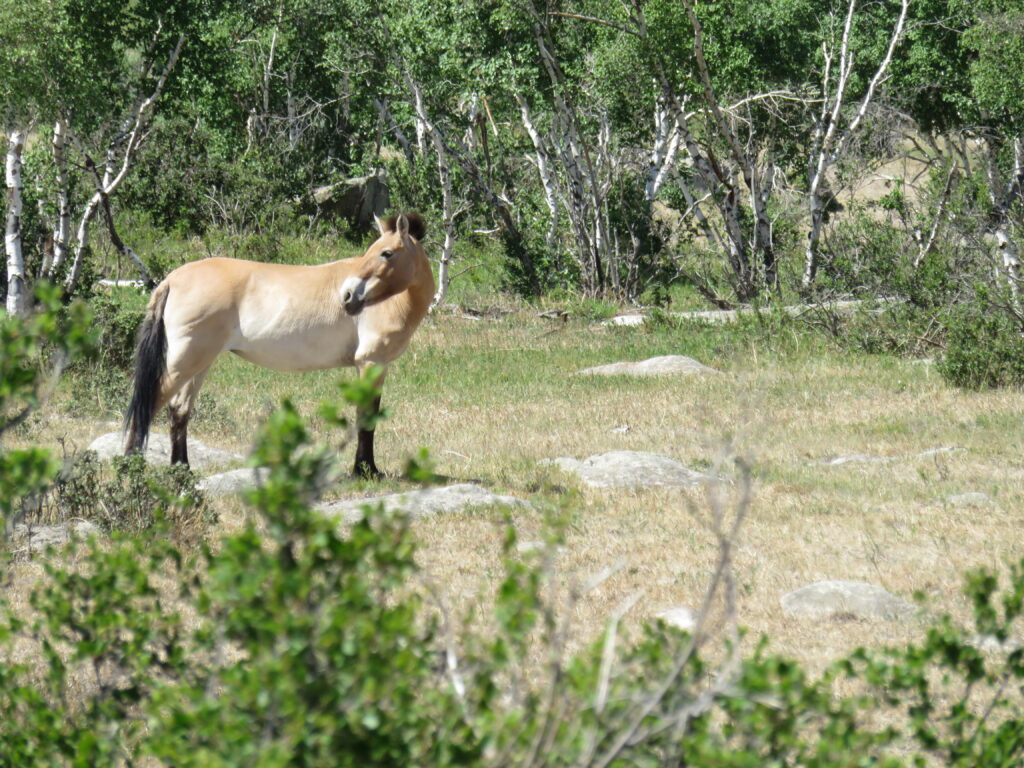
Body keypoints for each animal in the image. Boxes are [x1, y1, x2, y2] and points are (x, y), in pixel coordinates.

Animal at [123, 212, 434, 478]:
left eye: (386, 253)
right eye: (372, 251)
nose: (347, 295)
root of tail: (171, 280)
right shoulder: (371, 362)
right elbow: (366, 417)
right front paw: (366, 470)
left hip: (199, 363)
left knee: (179, 409)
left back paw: (182, 470)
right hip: (185, 361)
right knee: (149, 404)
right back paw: (130, 467)